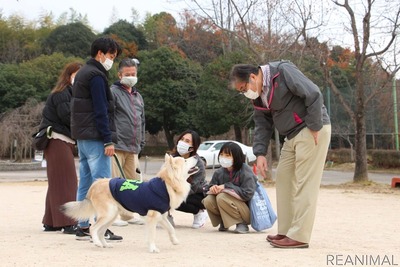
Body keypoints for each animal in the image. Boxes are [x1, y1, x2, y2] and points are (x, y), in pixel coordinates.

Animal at [61, 155, 198, 253]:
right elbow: (152, 235)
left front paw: (174, 241)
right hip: (108, 215)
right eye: (185, 160)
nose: (197, 156)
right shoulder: (152, 219)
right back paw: (97, 243)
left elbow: (171, 229)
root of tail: (96, 183)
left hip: (111, 217)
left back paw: (106, 245)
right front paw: (152, 248)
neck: (166, 184)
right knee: (93, 228)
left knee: (100, 231)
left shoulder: (161, 217)